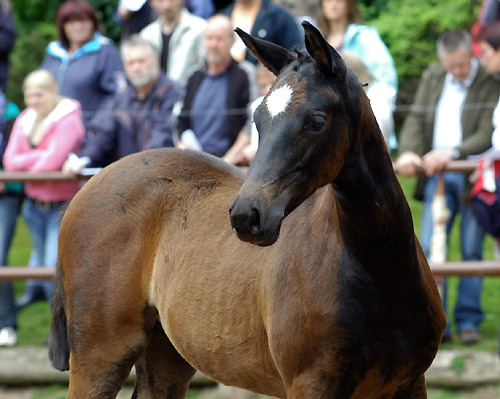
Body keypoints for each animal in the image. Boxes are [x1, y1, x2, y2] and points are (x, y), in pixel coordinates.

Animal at [47, 22, 446, 399]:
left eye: (316, 120)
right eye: (258, 120)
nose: (246, 216)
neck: (379, 273)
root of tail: (87, 187)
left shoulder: (410, 383)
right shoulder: (310, 384)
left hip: (166, 357)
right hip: (101, 355)